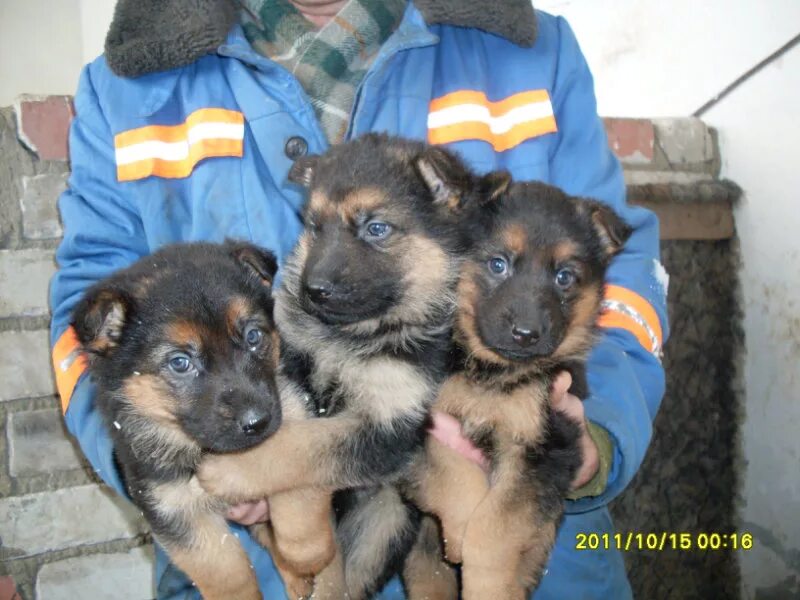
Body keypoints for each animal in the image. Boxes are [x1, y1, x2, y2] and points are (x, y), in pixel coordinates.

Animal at [71, 241, 328, 600]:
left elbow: (298, 510)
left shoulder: (299, 420)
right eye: (180, 363)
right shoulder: (176, 512)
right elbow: (228, 575)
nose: (258, 423)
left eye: (253, 336)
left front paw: (307, 560)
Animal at [197, 134, 510, 596]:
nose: (313, 290)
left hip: (381, 524)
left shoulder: (388, 428)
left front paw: (233, 469)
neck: (353, 336)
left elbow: (304, 444)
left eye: (376, 228)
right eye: (314, 227)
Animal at [410, 179, 636, 600]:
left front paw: (485, 585)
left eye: (565, 277)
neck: (492, 373)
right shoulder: (425, 424)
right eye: (498, 264)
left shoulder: (544, 449)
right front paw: (459, 531)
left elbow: (493, 531)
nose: (527, 334)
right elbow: (457, 476)